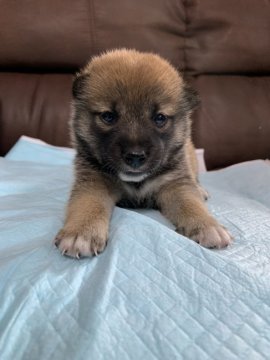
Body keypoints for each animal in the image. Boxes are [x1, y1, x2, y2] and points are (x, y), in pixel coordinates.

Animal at [54, 48, 232, 258]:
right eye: (108, 116)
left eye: (160, 118)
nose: (135, 156)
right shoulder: (94, 182)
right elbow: (88, 204)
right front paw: (81, 232)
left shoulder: (174, 184)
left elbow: (190, 203)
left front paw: (207, 225)